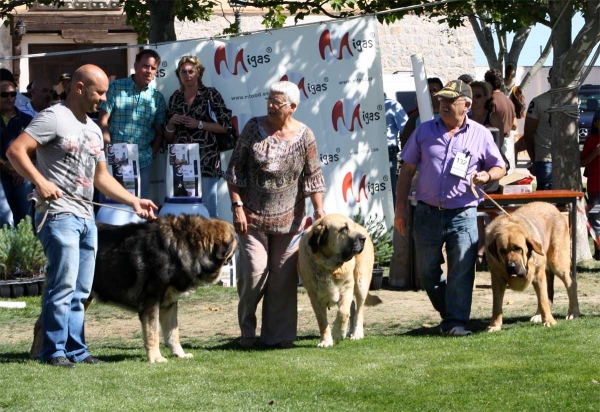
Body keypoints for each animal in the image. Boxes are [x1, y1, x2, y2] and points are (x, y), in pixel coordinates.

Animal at [30, 214, 237, 362]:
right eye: (235, 240)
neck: (183, 245)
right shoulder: (151, 301)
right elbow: (153, 332)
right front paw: (156, 358)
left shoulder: (170, 304)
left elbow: (173, 333)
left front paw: (180, 354)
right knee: (43, 323)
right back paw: (39, 354)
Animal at [298, 214, 382, 346]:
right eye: (344, 229)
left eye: (352, 227)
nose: (362, 239)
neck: (328, 267)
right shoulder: (314, 297)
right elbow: (322, 321)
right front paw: (326, 341)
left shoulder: (346, 288)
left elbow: (343, 312)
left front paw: (337, 334)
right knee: (353, 307)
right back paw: (351, 331)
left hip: (361, 282)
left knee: (359, 309)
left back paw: (357, 333)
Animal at [486, 201, 580, 334]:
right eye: (502, 251)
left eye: (518, 248)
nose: (511, 266)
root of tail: (551, 206)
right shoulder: (497, 280)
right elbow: (496, 305)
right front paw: (495, 325)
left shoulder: (538, 275)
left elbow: (543, 300)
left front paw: (549, 321)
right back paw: (539, 315)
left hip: (558, 263)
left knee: (570, 284)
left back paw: (573, 312)